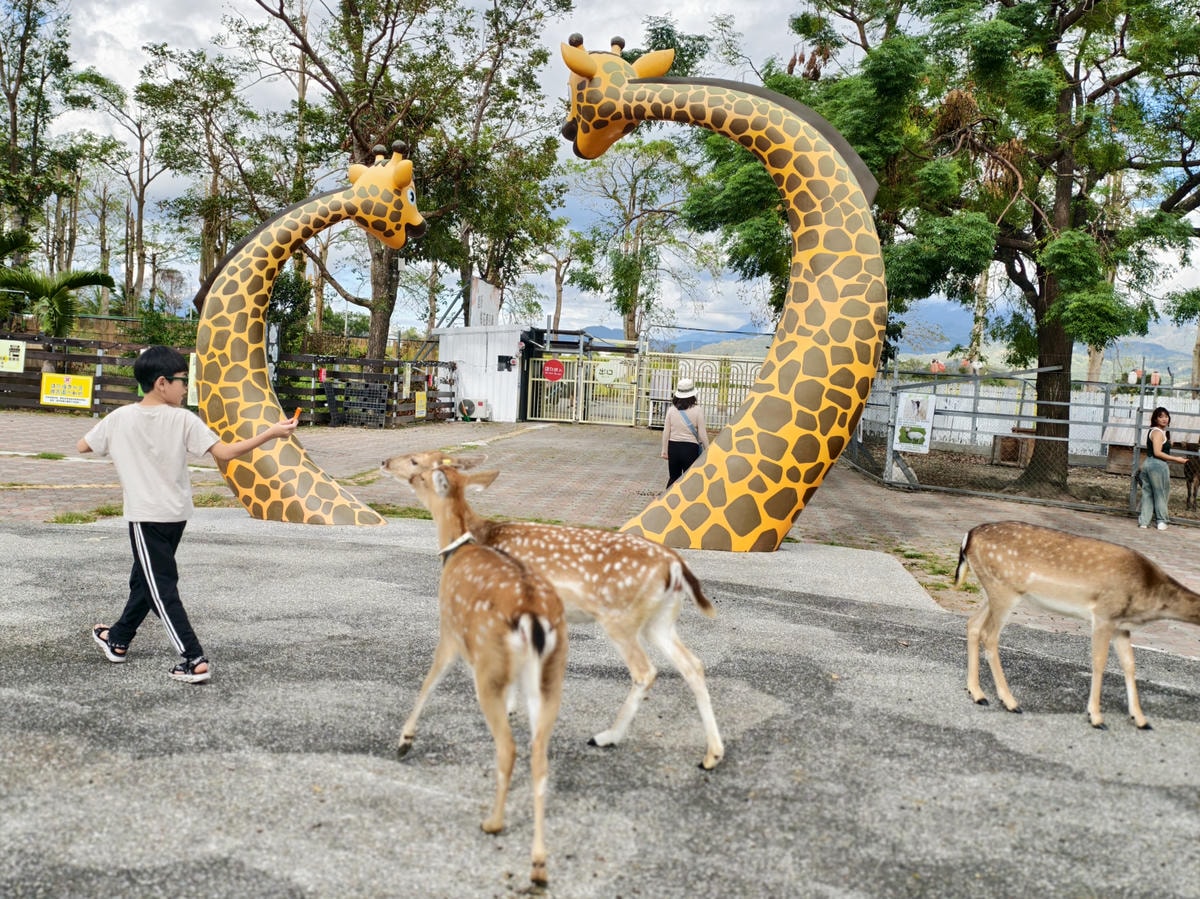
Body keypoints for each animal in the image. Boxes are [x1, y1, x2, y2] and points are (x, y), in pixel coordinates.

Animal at [381, 451, 724, 770]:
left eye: (415, 462)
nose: (384, 462)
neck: (477, 535)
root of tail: (676, 566)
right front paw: (511, 706)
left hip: (619, 617)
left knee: (645, 671)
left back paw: (607, 736)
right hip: (659, 621)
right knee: (693, 665)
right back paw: (712, 754)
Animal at [398, 463, 567, 887]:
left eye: (423, 476)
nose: (407, 476)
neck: (456, 551)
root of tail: (533, 615)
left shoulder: (450, 632)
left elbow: (428, 680)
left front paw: (404, 740)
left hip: (488, 667)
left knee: (508, 748)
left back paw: (493, 822)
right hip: (551, 677)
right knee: (540, 757)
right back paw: (538, 865)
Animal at [955, 520, 1200, 729]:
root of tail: (968, 536)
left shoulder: (1121, 625)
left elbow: (1129, 665)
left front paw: (1140, 719)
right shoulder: (1104, 615)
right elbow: (1099, 662)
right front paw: (1096, 717)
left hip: (993, 591)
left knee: (973, 624)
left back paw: (977, 694)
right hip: (1004, 589)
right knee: (990, 636)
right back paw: (1010, 702)